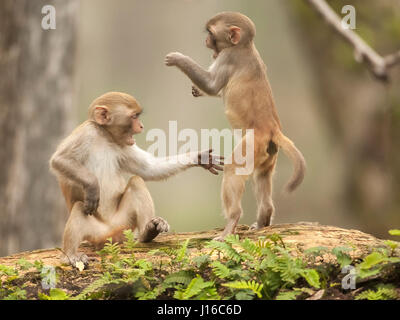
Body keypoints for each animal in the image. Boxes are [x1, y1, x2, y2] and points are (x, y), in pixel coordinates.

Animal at [49, 91, 223, 266]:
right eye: (133, 116)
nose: (141, 126)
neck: (105, 135)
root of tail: (111, 234)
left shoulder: (123, 146)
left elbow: (149, 169)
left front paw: (200, 158)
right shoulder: (87, 132)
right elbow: (60, 160)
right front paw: (92, 186)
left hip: (124, 223)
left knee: (136, 182)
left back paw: (148, 231)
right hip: (96, 232)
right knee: (80, 207)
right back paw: (70, 255)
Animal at [166, 11, 306, 240]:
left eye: (211, 33)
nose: (206, 42)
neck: (244, 47)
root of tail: (272, 128)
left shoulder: (228, 57)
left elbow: (212, 85)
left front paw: (178, 59)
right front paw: (197, 90)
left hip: (252, 143)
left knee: (233, 169)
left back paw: (232, 222)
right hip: (268, 153)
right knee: (261, 176)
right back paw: (263, 218)